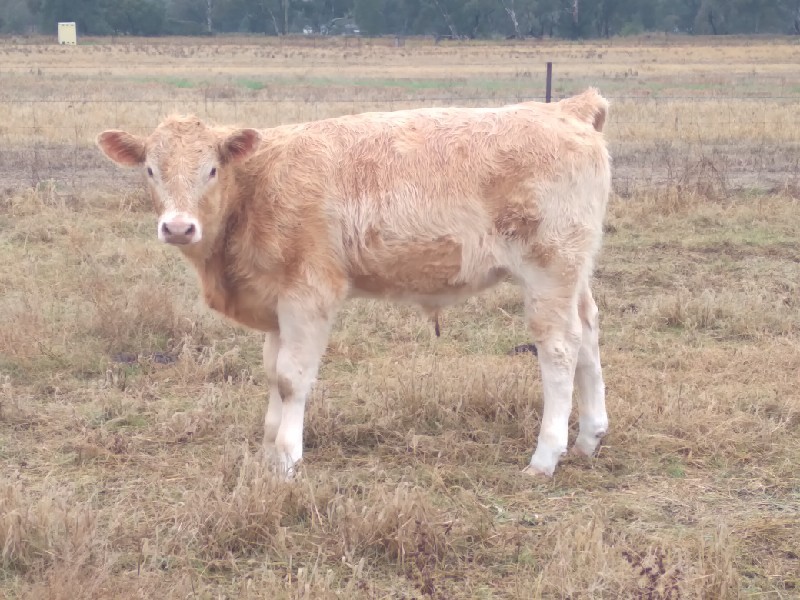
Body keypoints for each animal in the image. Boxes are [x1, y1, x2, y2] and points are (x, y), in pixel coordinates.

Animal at [96, 87, 611, 478]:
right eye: (150, 170)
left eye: (211, 169)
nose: (178, 227)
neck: (257, 187)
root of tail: (566, 108)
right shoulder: (276, 304)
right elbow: (272, 373)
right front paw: (268, 450)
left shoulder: (309, 295)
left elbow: (291, 378)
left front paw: (287, 460)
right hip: (574, 272)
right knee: (588, 332)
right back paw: (589, 437)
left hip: (548, 270)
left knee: (559, 349)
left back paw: (545, 457)